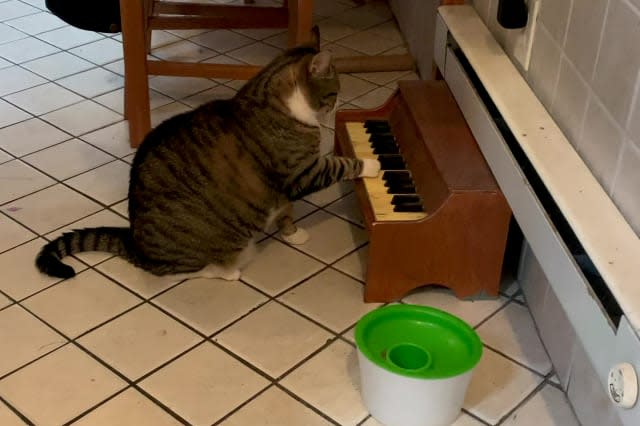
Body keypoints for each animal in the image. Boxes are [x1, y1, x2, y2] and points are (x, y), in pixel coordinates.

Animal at [35, 25, 380, 280]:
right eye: (334, 92)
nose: (338, 105)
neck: (279, 104)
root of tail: (136, 244)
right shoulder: (300, 172)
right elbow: (339, 165)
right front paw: (371, 164)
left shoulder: (283, 188)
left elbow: (286, 212)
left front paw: (293, 234)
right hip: (198, 249)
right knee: (182, 271)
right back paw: (227, 270)